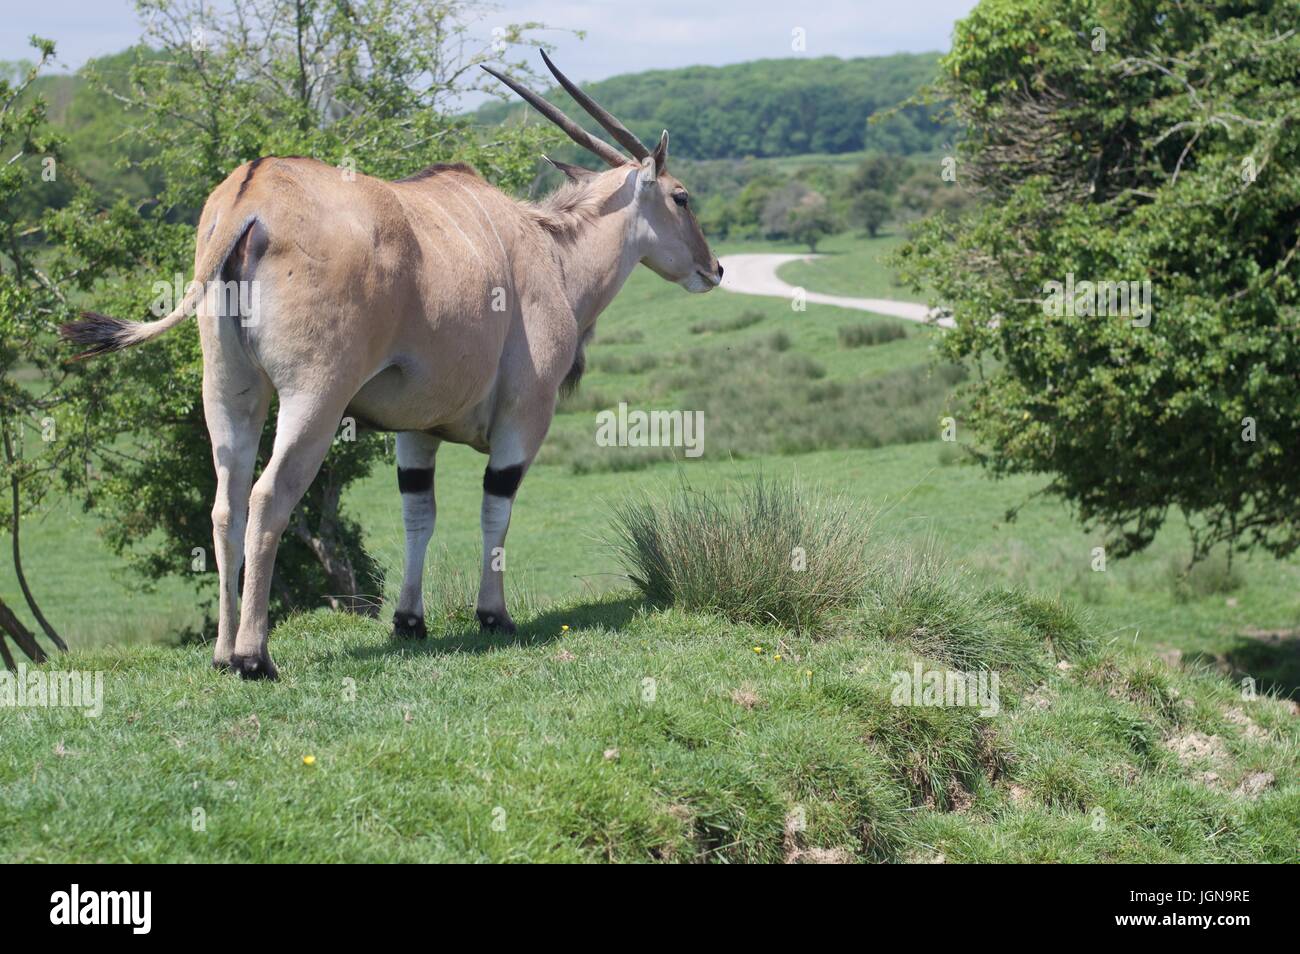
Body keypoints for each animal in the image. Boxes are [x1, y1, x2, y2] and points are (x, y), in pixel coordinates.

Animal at [63, 52, 722, 681]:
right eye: (681, 196)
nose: (713, 269)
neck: (551, 250)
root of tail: (250, 199)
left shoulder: (416, 432)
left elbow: (418, 513)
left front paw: (409, 621)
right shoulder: (524, 417)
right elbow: (495, 509)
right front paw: (494, 615)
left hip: (230, 392)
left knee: (227, 504)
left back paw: (224, 654)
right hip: (315, 398)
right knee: (269, 496)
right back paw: (255, 657)